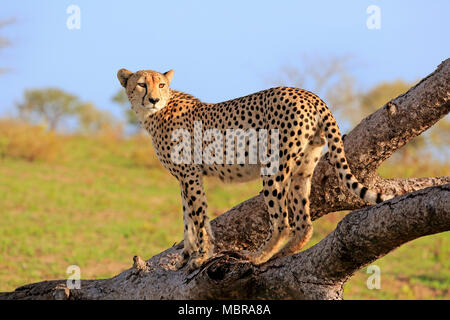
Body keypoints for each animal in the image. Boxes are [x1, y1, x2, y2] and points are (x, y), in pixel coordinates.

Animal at [117, 68, 394, 272]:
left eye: (161, 85)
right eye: (141, 84)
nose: (153, 99)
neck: (154, 114)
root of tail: (308, 94)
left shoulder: (190, 175)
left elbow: (198, 218)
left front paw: (201, 257)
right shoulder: (186, 178)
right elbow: (188, 220)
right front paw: (186, 257)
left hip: (273, 166)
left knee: (282, 221)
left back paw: (258, 257)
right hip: (303, 168)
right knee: (304, 223)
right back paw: (283, 253)